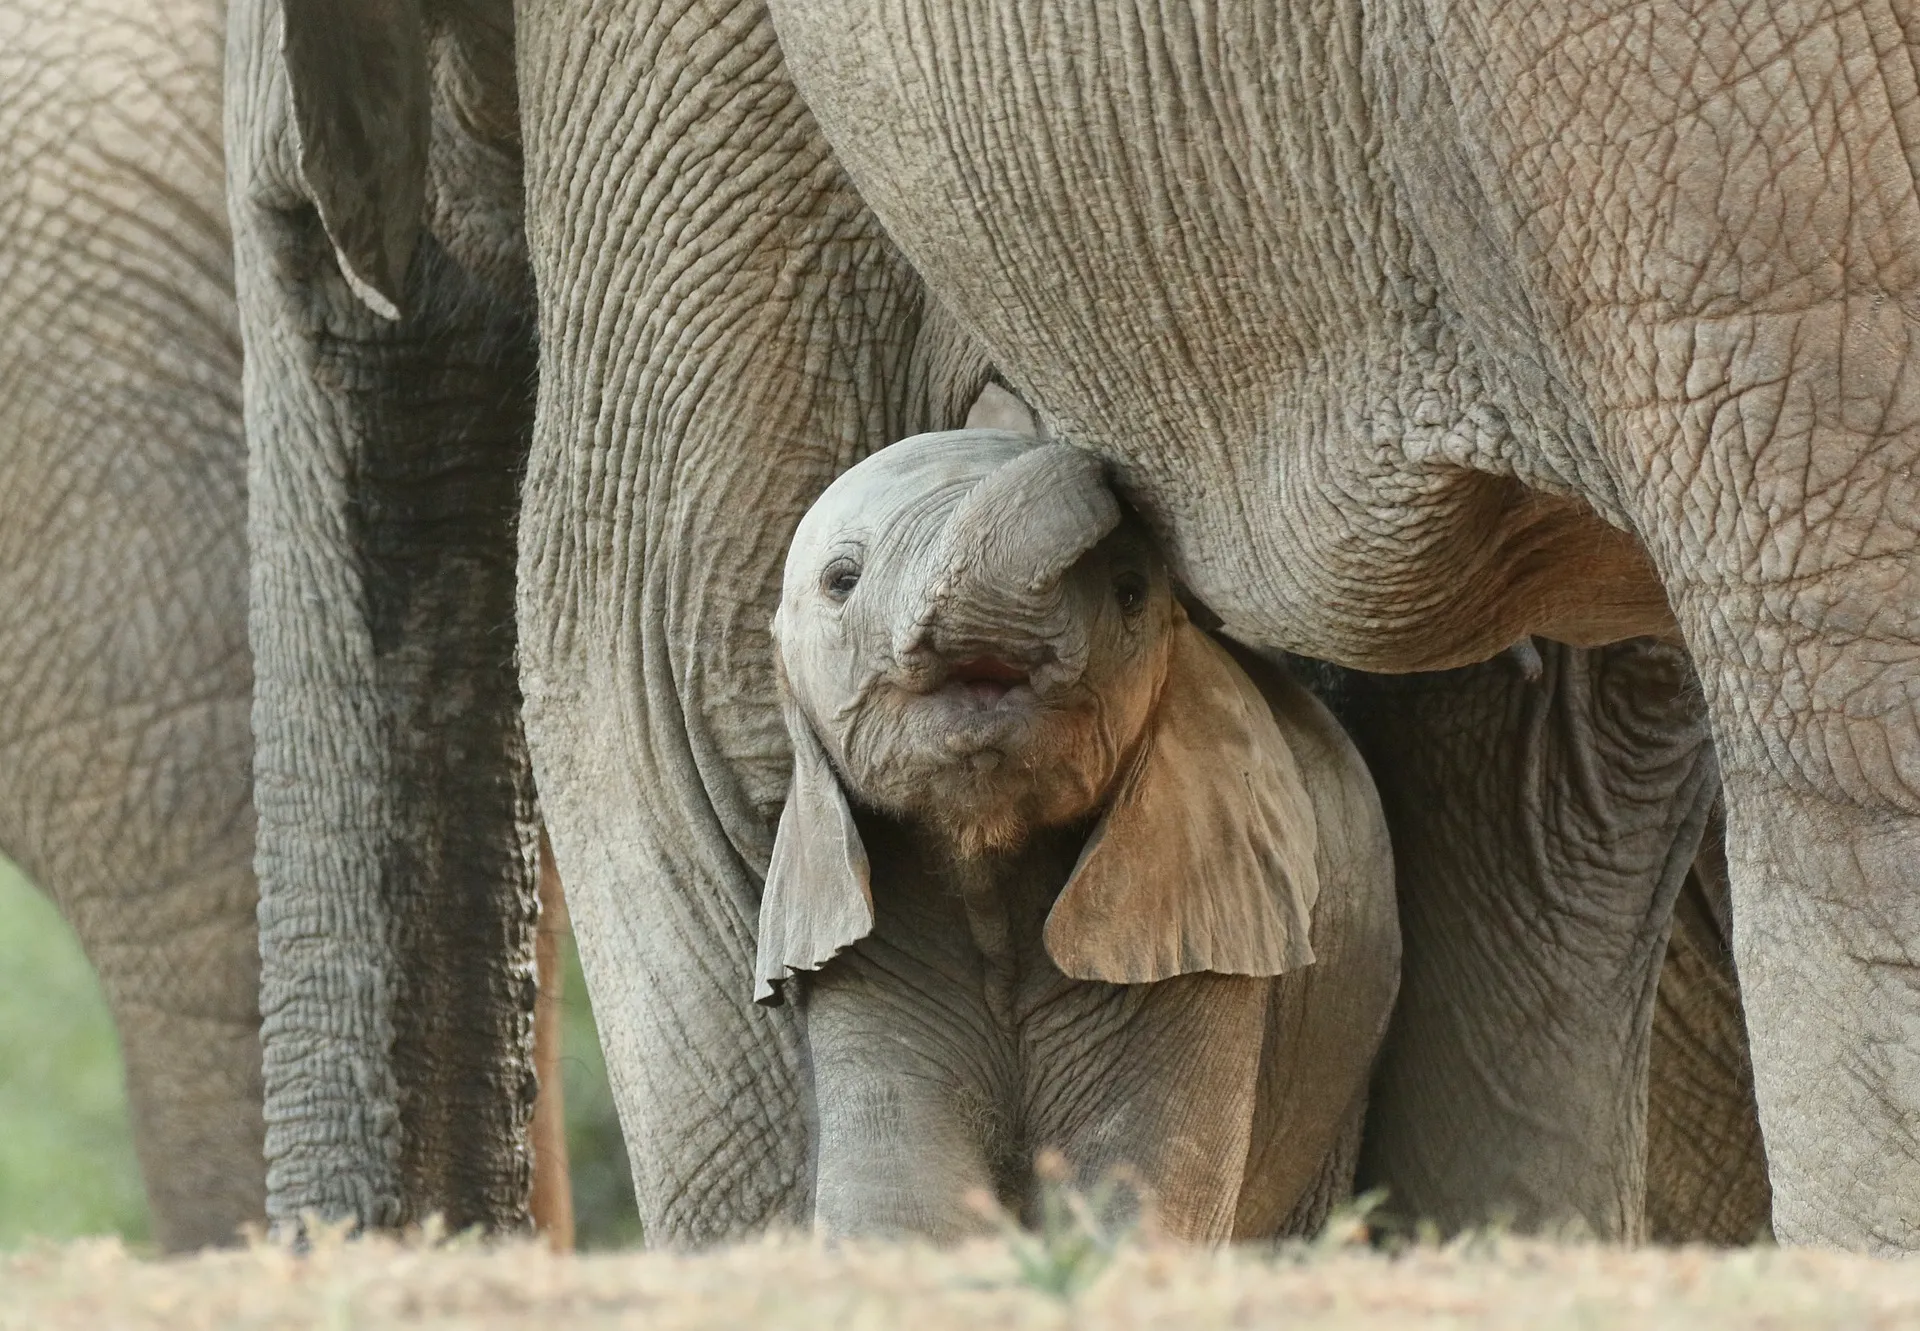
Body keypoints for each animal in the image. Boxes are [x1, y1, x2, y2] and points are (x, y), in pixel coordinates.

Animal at [756, 430, 1405, 1244]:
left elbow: (1134, 1193)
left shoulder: (1202, 930)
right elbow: (897, 1205)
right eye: (841, 581)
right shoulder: (863, 949)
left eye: (1130, 594)